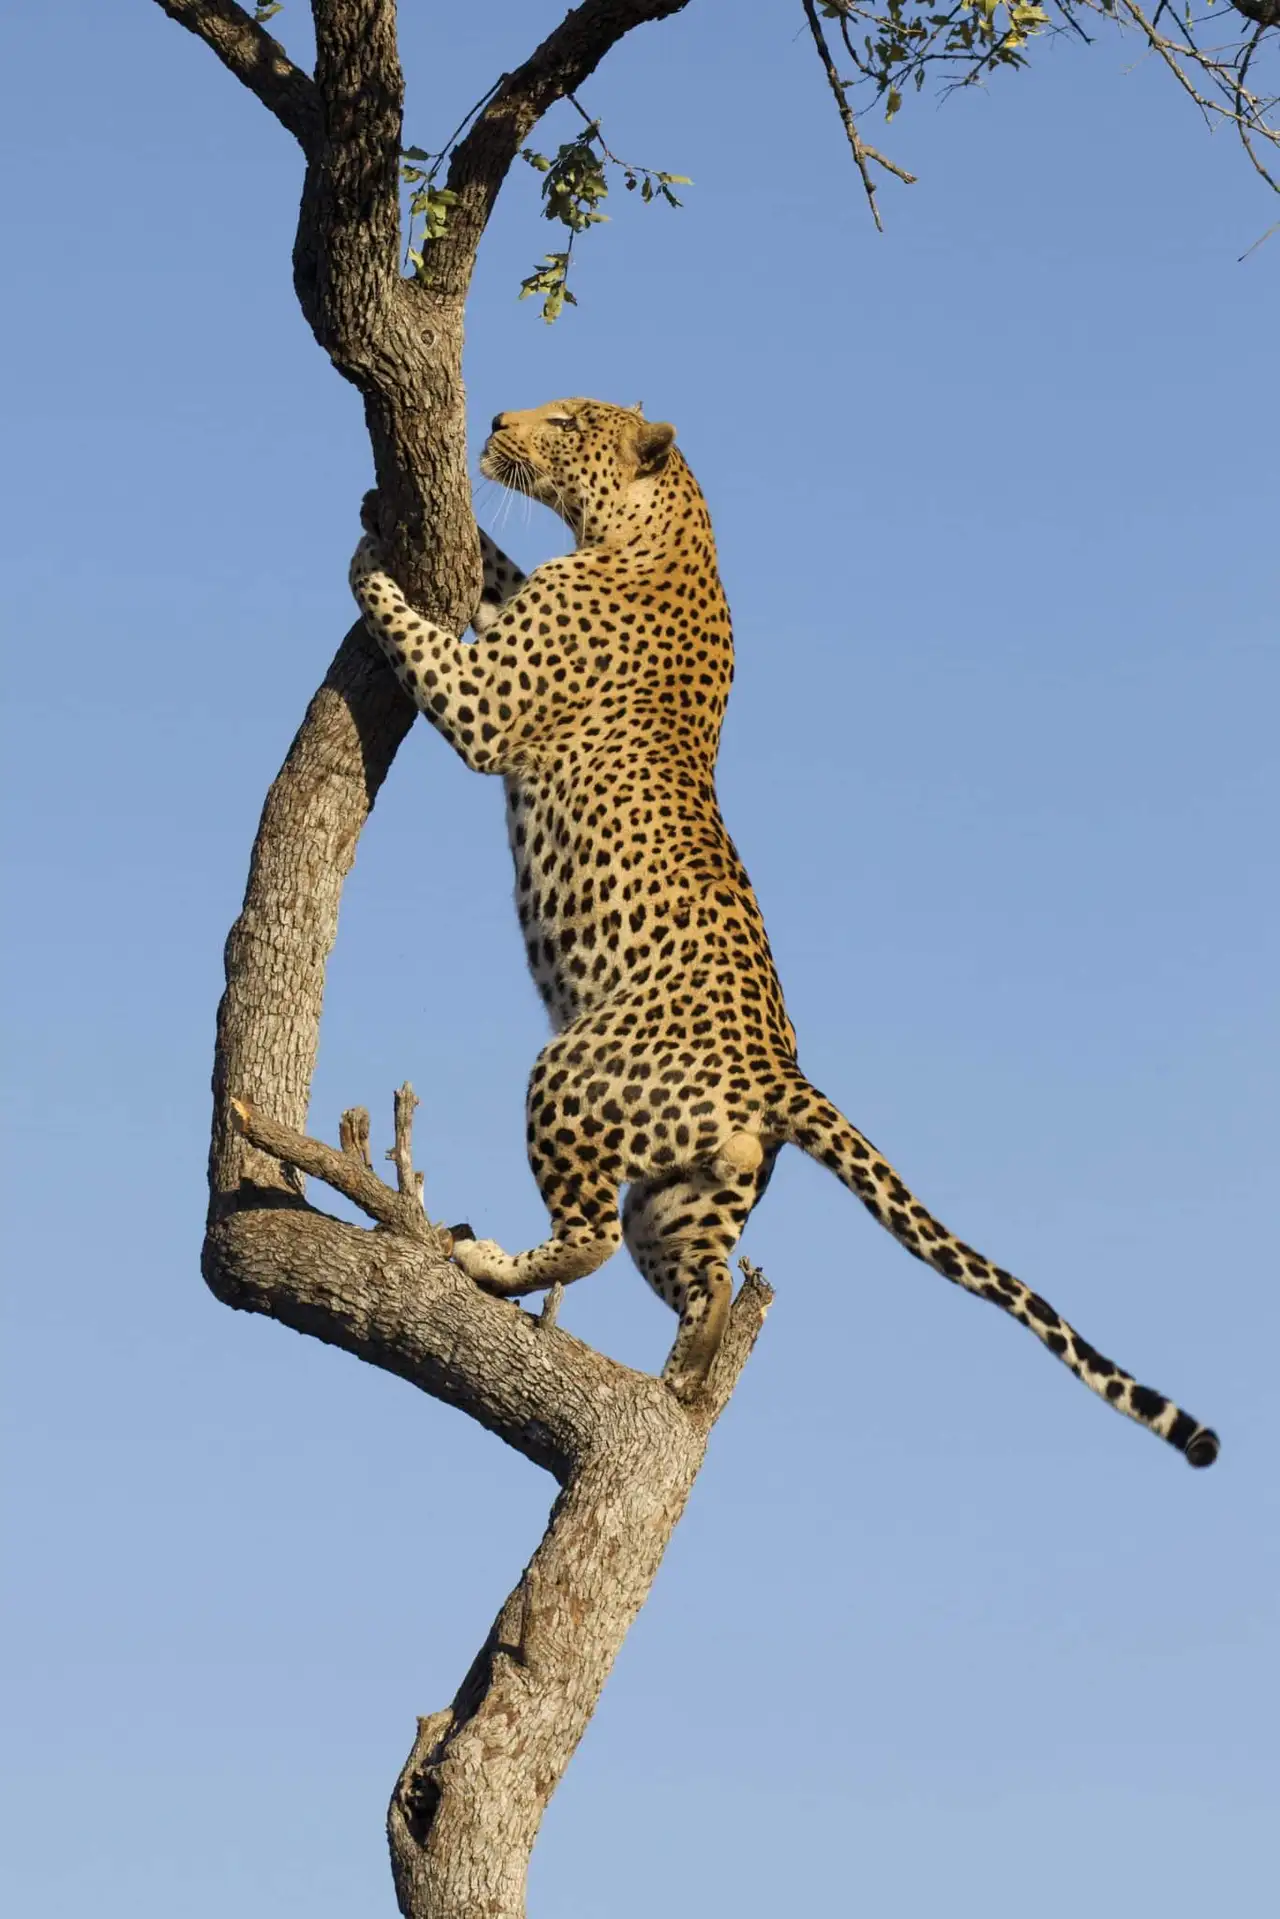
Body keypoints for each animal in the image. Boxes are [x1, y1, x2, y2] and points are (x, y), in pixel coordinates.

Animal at [348, 397, 1218, 1468]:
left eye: (566, 423)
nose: (504, 417)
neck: (657, 532)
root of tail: (782, 1073)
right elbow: (494, 571)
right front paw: (425, 523)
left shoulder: (488, 707)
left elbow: (424, 639)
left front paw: (372, 563)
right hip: (685, 1191)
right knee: (708, 1279)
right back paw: (681, 1374)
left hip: (573, 1077)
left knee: (592, 1233)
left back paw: (494, 1265)